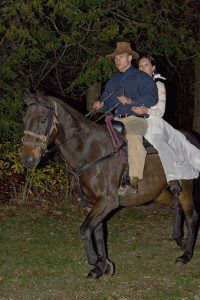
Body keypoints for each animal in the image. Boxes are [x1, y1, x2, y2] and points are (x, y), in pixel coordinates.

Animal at [22, 92, 200, 280]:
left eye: (43, 120)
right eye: (25, 119)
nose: (27, 159)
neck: (88, 150)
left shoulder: (108, 201)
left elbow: (85, 229)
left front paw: (98, 262)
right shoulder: (91, 203)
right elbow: (98, 232)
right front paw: (102, 266)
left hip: (185, 187)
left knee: (192, 216)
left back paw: (186, 255)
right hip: (157, 193)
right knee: (176, 205)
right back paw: (179, 239)